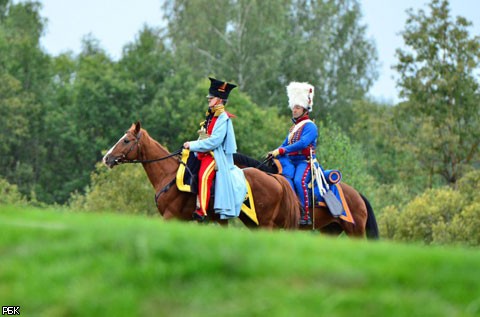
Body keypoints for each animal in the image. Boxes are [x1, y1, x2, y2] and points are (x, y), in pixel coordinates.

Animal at [102, 122, 298, 228]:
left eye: (126, 140)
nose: (107, 158)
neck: (168, 175)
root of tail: (275, 179)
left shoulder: (170, 216)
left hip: (265, 223)